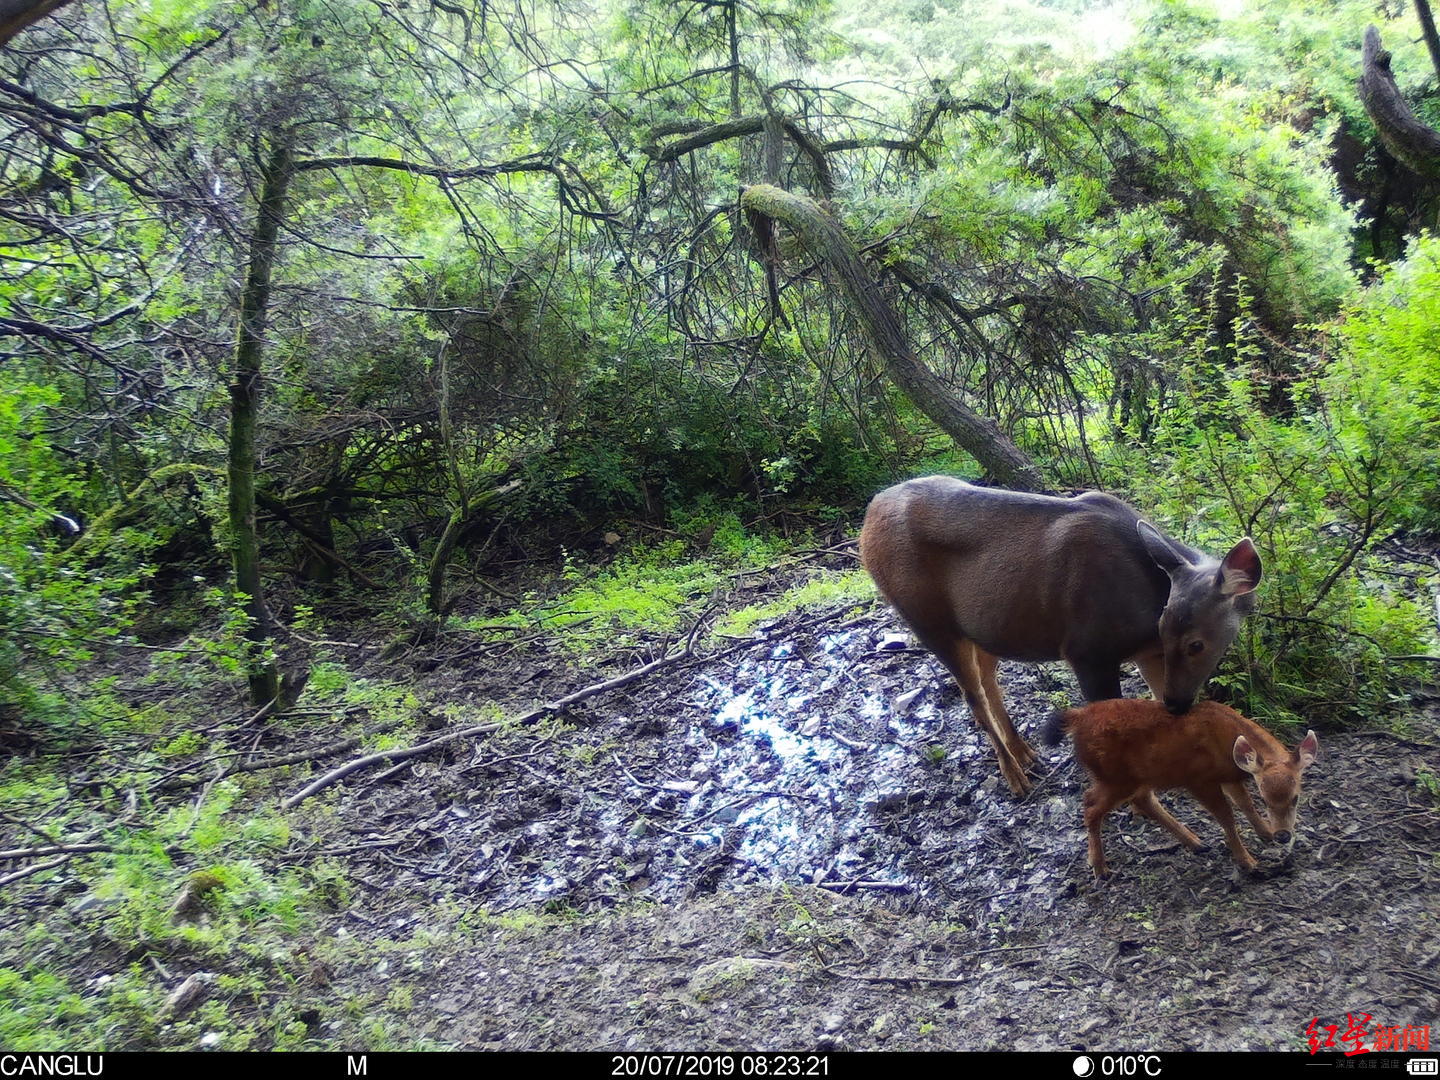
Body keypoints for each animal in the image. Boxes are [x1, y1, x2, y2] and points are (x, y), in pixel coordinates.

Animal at [852, 480, 1261, 794]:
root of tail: (868, 517)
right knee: (973, 696)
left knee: (988, 682)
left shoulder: (1146, 654)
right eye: (1195, 644)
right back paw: (1014, 776)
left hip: (984, 628)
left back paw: (1024, 753)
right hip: (927, 618)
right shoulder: (1087, 650)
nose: (1179, 703)